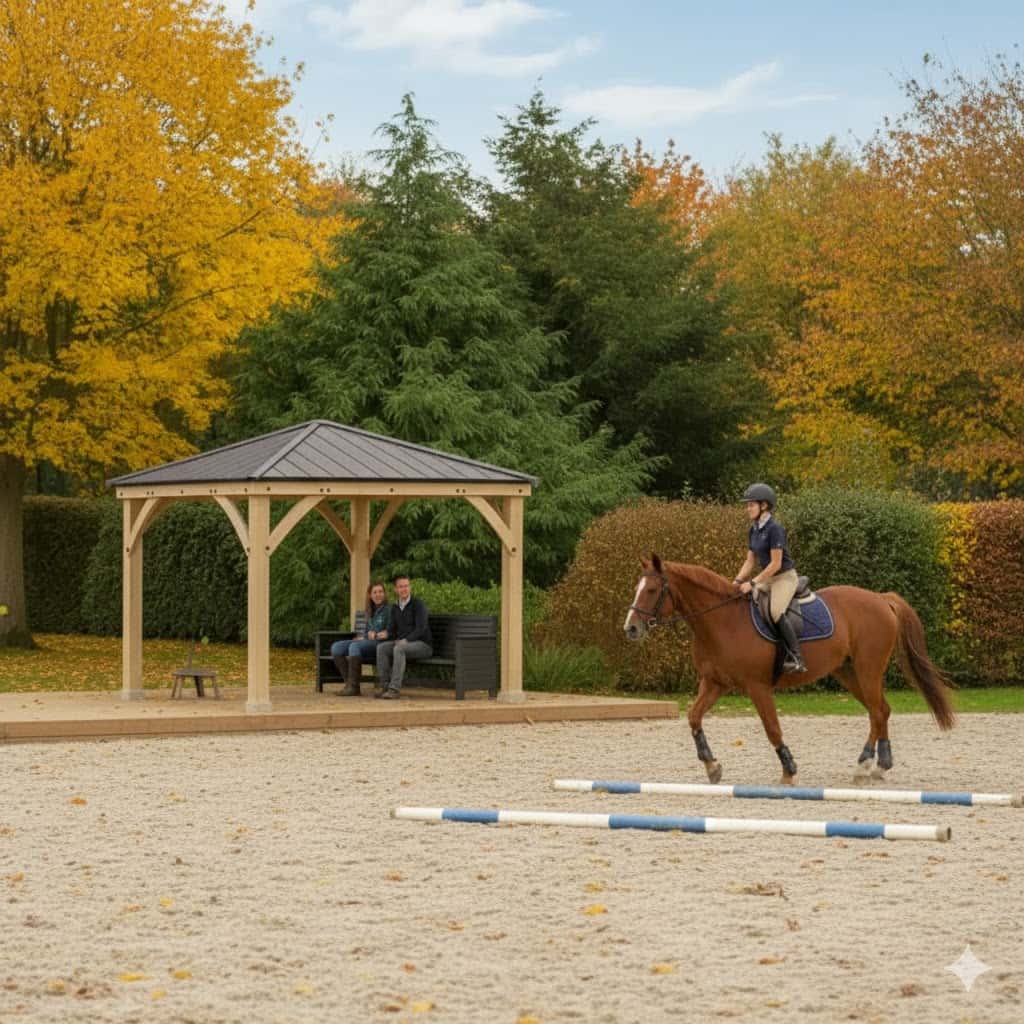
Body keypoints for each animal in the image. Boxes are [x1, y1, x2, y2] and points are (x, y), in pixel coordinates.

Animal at [623, 554, 955, 784]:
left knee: (877, 710)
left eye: (651, 590)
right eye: (638, 588)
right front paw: (712, 766)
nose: (631, 629)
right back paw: (878, 765)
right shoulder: (714, 682)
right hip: (848, 672)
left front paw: (789, 770)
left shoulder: (757, 687)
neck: (721, 622)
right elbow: (693, 717)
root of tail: (881, 598)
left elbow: (772, 728)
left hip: (868, 669)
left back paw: (866, 765)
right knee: (880, 710)